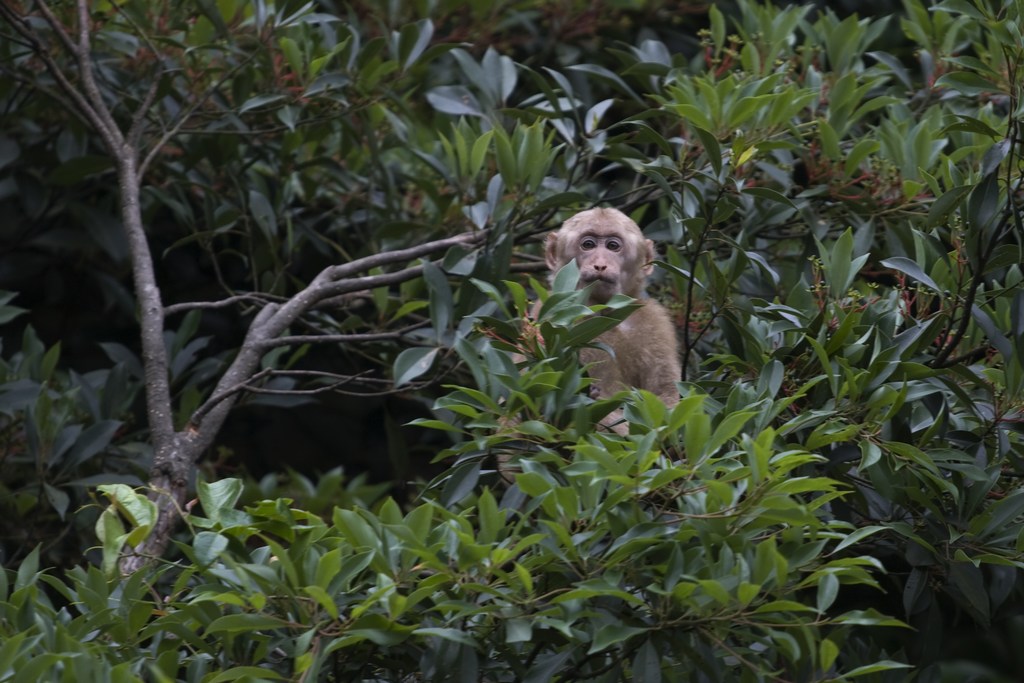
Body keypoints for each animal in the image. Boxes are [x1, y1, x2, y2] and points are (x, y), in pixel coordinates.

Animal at [544, 206, 679, 432]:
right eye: (588, 245)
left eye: (612, 246)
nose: (600, 264)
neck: (607, 312)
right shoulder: (554, 315)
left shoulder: (653, 320)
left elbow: (666, 393)